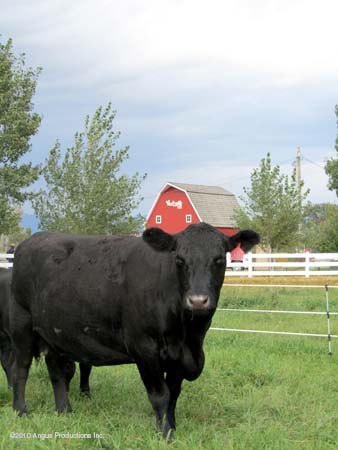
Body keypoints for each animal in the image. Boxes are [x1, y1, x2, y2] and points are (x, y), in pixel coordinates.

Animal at [9, 223, 258, 438]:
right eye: (179, 259)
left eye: (219, 259)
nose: (197, 300)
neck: (189, 336)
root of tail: (29, 241)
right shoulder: (144, 348)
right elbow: (160, 395)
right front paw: (165, 434)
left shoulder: (178, 356)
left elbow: (174, 394)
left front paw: (173, 426)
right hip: (22, 326)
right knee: (20, 370)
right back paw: (20, 411)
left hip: (54, 333)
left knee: (57, 372)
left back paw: (64, 411)